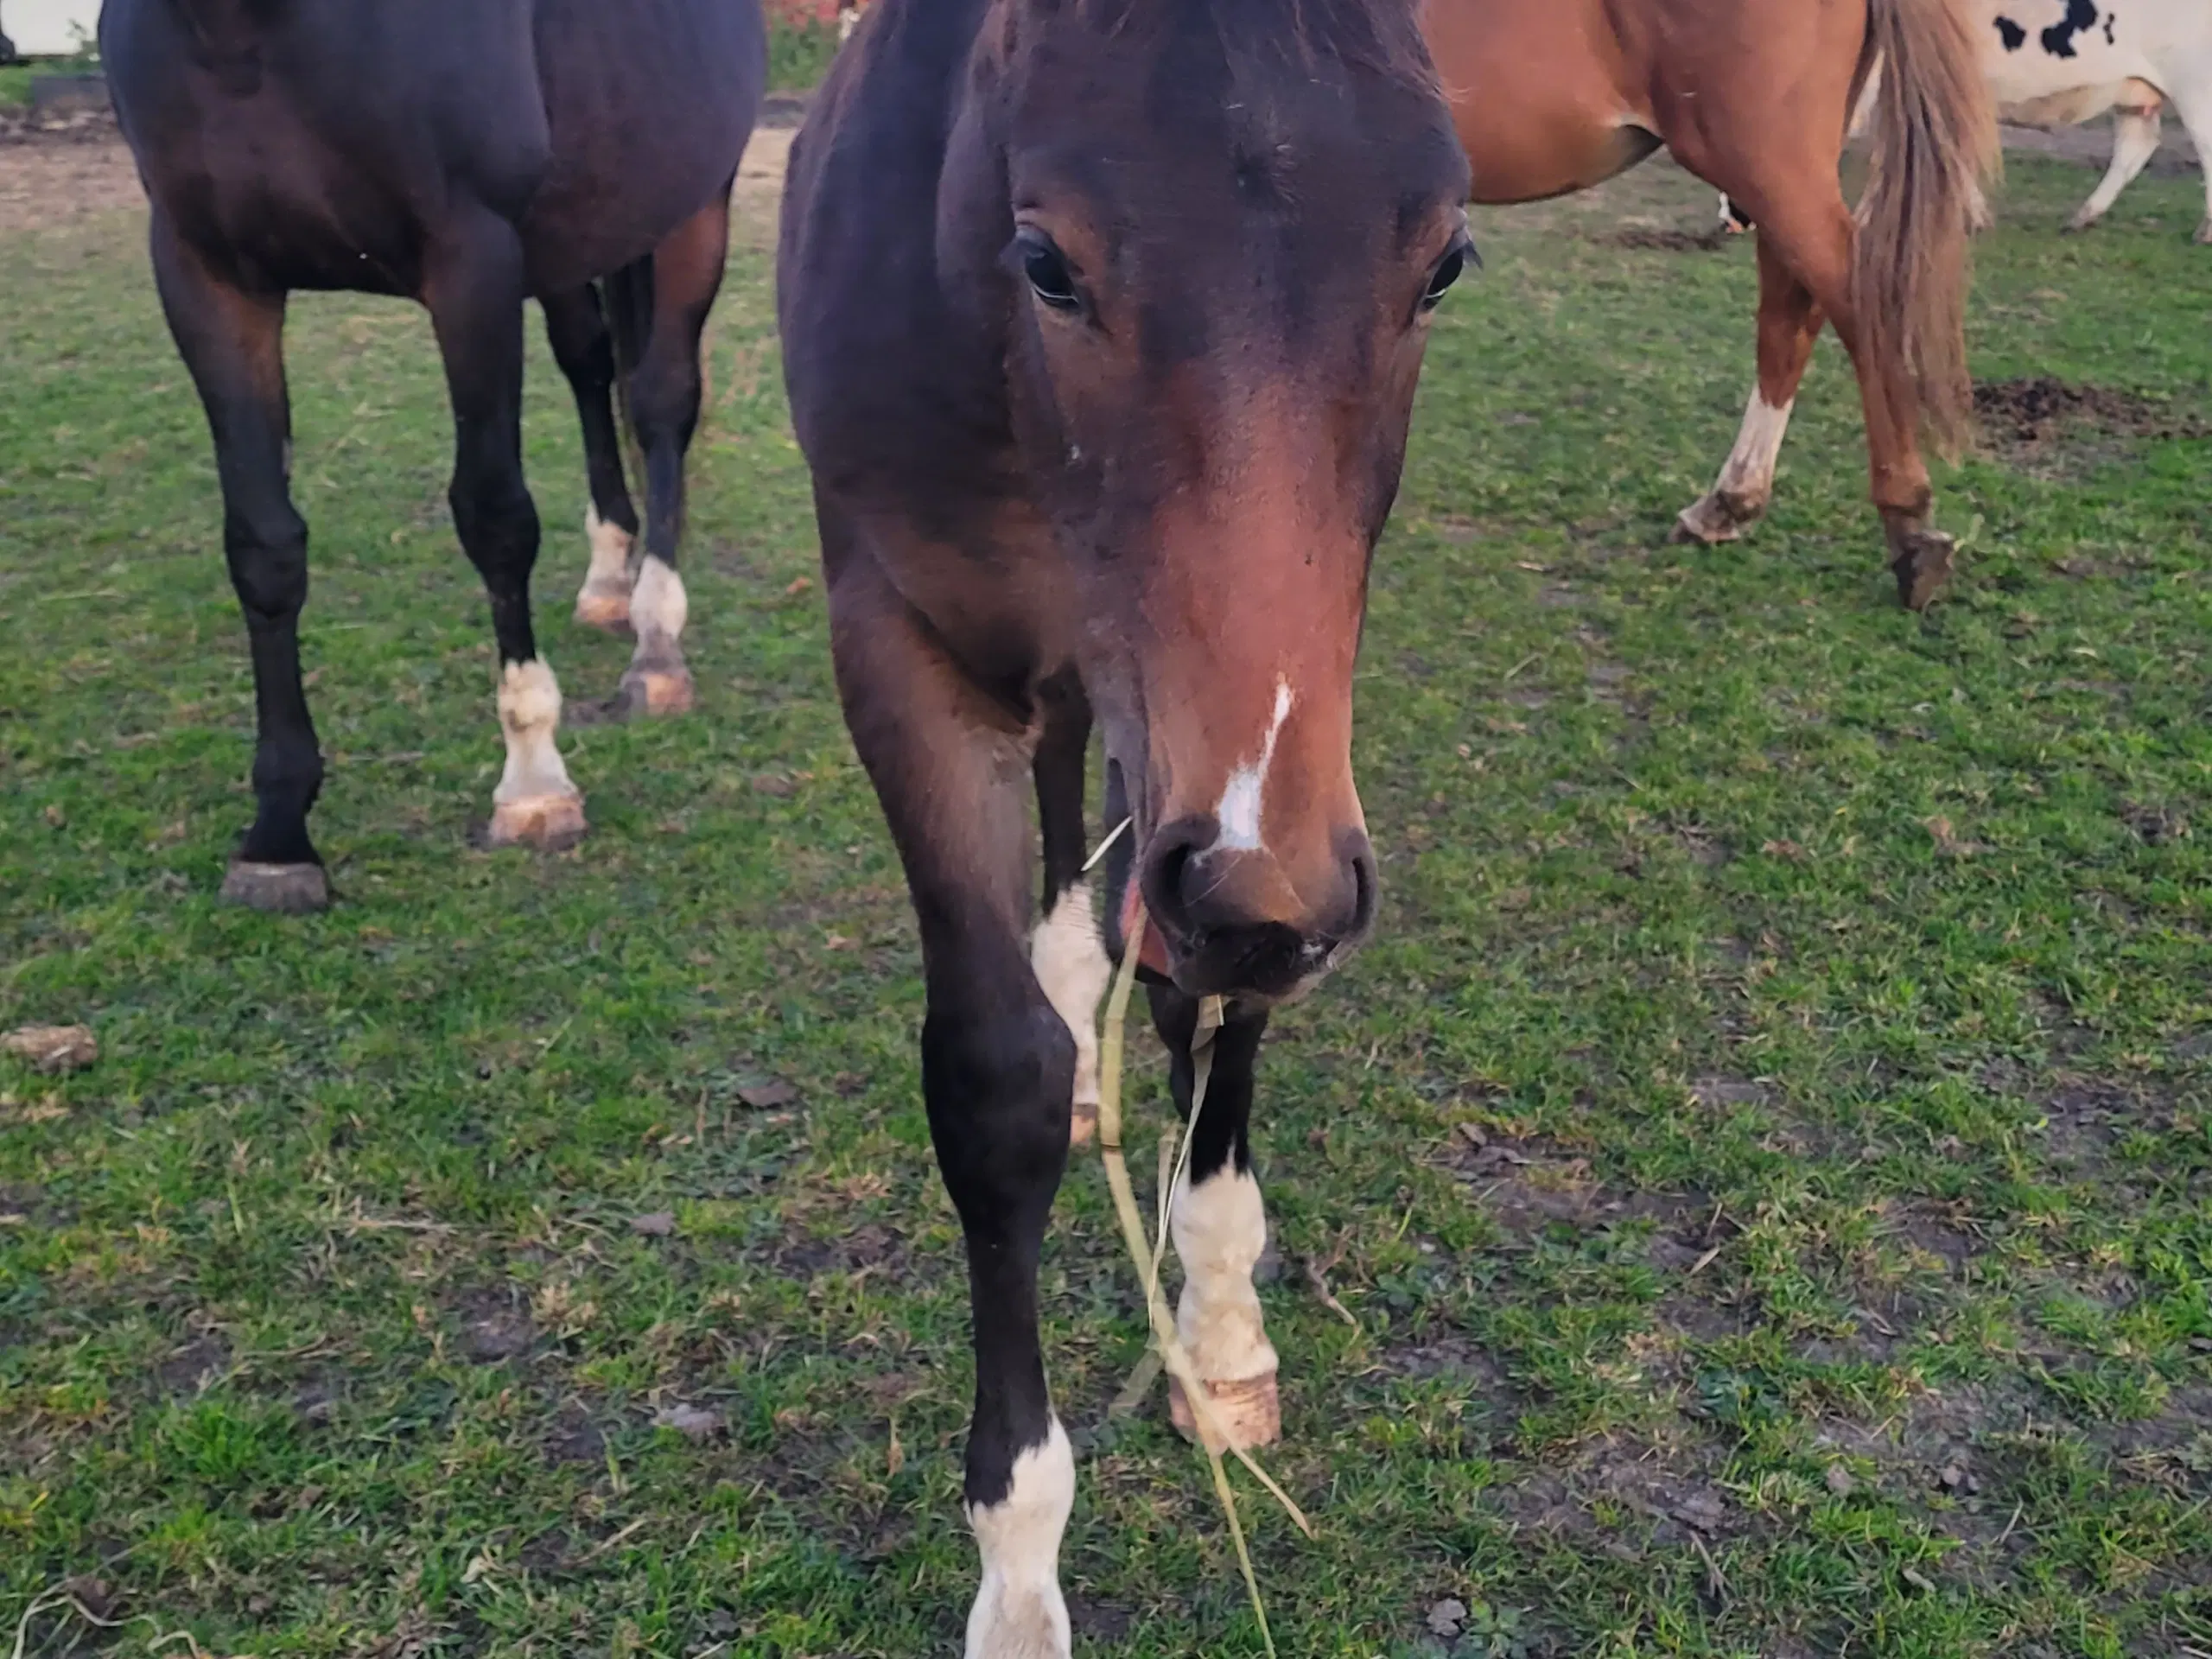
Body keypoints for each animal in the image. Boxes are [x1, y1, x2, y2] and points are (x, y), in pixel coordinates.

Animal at [104, 0, 769, 911]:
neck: (247, 30)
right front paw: (278, 836)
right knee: (590, 363)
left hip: (694, 205)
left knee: (662, 401)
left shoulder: (472, 260)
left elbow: (495, 519)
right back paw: (607, 578)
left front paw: (534, 783)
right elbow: (263, 546)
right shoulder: (207, 274)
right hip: (574, 237)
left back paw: (655, 646)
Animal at [787, 0, 1478, 1654]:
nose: (1241, 874)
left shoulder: (1247, 786)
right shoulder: (908, 652)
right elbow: (995, 1087)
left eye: (1444, 263)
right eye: (1045, 260)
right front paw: (1020, 1572)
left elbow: (1216, 988)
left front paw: (1220, 1329)